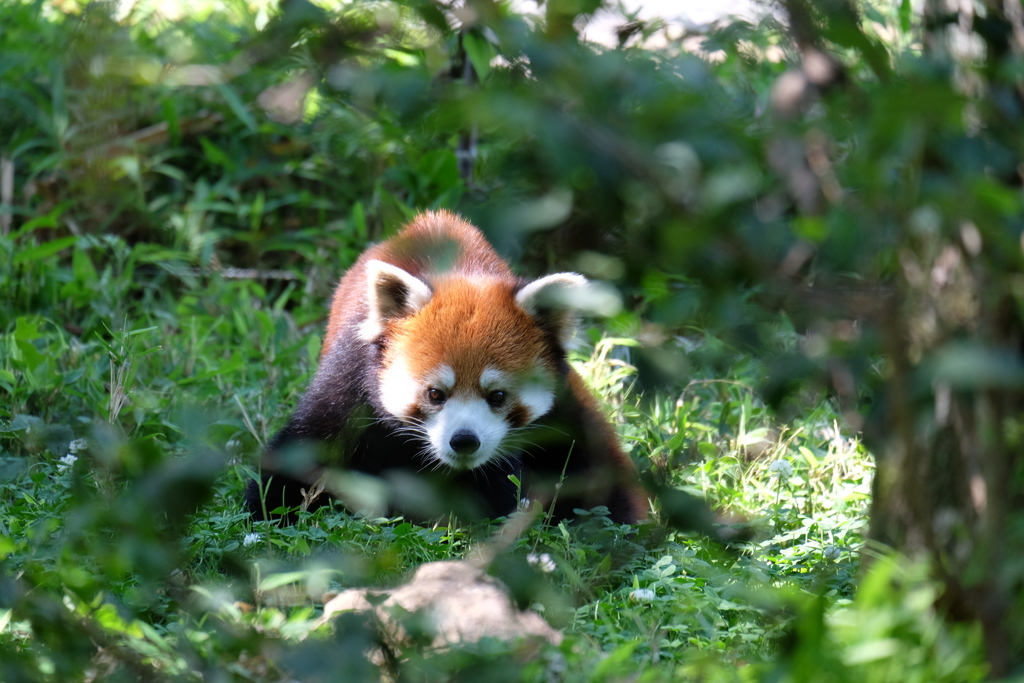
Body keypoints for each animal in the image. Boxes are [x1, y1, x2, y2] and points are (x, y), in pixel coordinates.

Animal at [243, 208, 643, 524]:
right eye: (435, 393)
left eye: (497, 396)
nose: (464, 440)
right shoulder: (348, 383)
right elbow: (304, 451)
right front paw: (268, 510)